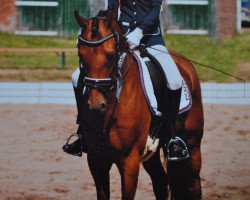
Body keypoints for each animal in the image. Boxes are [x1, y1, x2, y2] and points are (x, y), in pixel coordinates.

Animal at [74, 9, 203, 200]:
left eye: (111, 55)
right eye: (81, 55)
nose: (96, 106)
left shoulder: (129, 161)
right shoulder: (97, 161)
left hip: (192, 147)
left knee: (194, 185)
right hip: (152, 153)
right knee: (161, 182)